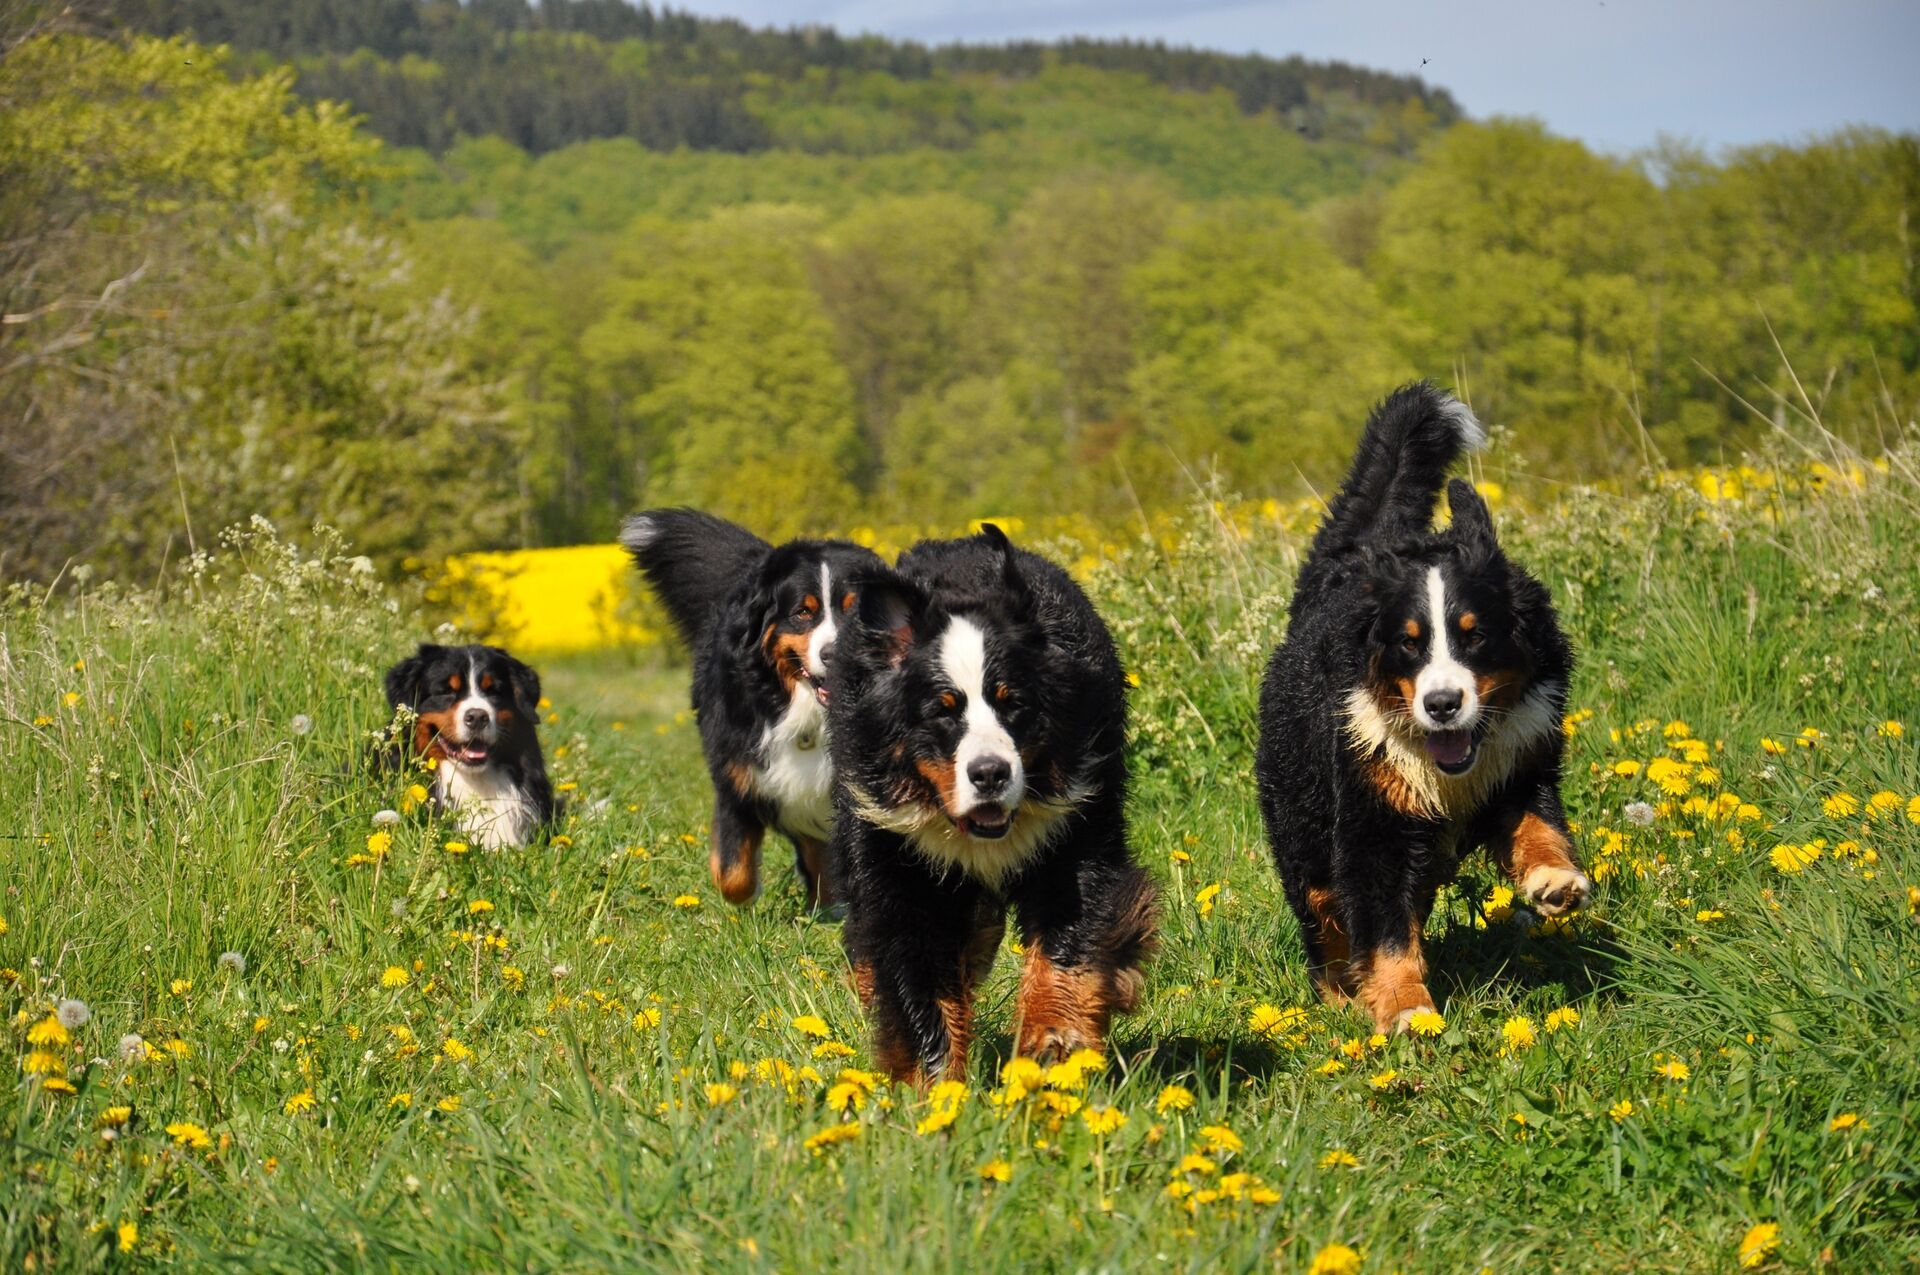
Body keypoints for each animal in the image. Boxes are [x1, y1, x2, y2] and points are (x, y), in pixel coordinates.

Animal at [831, 524, 1156, 1083]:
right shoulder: (896, 856)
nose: (989, 773)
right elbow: (916, 977)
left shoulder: (1077, 828)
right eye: (942, 710)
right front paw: (936, 1086)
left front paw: (1053, 1040)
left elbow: (1069, 935)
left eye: (1013, 702)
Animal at [1256, 382, 1589, 1034]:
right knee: (1324, 910)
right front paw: (1405, 1007)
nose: (1441, 705)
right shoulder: (1373, 819)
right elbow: (1383, 927)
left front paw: (1554, 879)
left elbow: (1538, 825)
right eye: (1409, 643)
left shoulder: (1521, 762)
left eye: (1475, 635)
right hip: (1303, 822)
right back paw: (1340, 993)